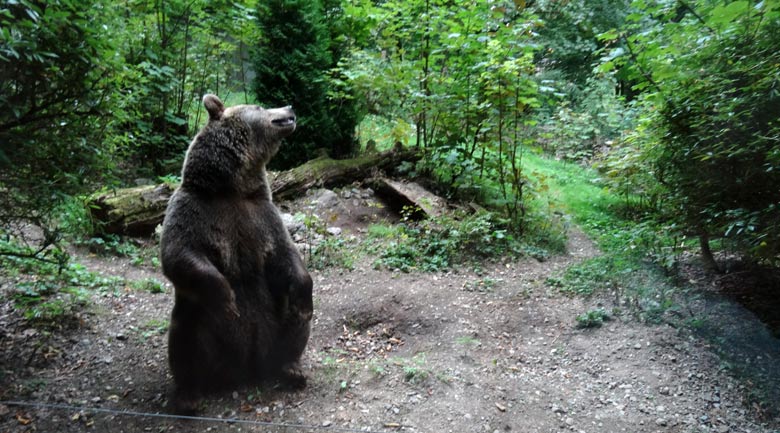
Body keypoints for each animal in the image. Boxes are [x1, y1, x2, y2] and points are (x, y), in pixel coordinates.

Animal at [160, 93, 312, 412]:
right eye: (259, 106)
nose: (290, 107)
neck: (232, 188)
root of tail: (245, 369)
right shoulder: (193, 211)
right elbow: (179, 254)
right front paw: (228, 299)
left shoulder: (262, 215)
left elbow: (287, 255)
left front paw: (305, 300)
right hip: (202, 320)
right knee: (186, 338)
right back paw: (189, 394)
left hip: (276, 314)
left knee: (292, 323)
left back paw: (291, 368)